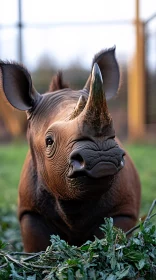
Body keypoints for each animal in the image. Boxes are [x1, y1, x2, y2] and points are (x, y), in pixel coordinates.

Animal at [0, 47, 141, 253]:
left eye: (113, 135)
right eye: (49, 141)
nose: (102, 158)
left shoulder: (123, 210)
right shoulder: (30, 212)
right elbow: (38, 245)